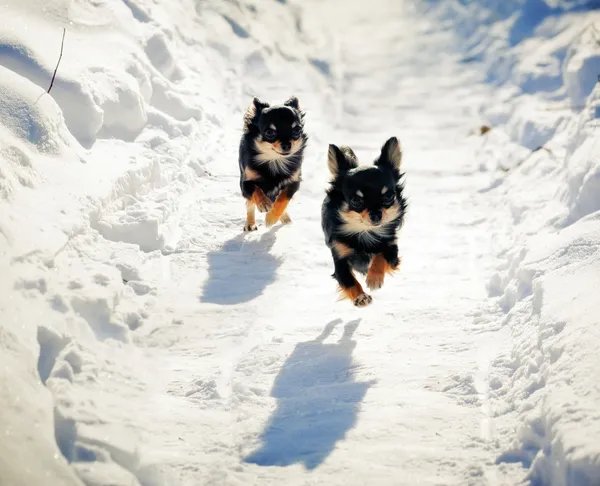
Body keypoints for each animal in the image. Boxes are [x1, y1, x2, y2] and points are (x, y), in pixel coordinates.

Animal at [237, 96, 308, 232]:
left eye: (297, 130)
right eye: (270, 132)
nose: (287, 145)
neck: (275, 160)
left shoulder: (293, 183)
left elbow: (283, 199)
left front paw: (271, 218)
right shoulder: (246, 183)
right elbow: (256, 190)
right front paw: (264, 203)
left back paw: (284, 218)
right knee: (249, 204)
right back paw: (250, 224)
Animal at [318, 137, 408, 306]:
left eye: (388, 197)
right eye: (356, 200)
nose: (376, 215)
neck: (364, 232)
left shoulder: (392, 250)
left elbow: (380, 257)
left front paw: (374, 279)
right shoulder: (340, 259)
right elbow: (348, 281)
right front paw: (360, 297)